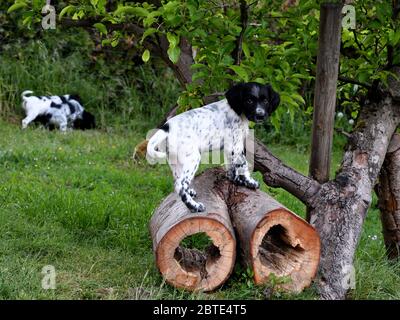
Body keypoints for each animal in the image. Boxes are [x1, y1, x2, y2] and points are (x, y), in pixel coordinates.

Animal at [147, 82, 282, 212]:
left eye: (265, 101)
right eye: (249, 101)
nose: (260, 115)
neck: (238, 112)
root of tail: (167, 127)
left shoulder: (229, 148)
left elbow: (231, 168)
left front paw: (237, 181)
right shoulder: (236, 146)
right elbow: (243, 164)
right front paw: (249, 182)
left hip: (175, 160)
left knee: (177, 181)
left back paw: (190, 193)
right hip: (193, 158)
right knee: (180, 185)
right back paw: (194, 206)